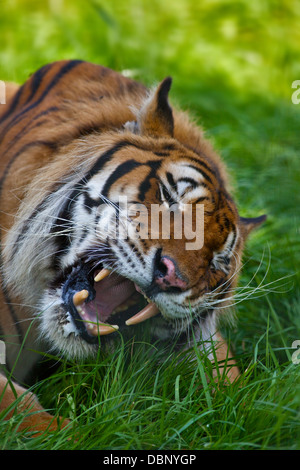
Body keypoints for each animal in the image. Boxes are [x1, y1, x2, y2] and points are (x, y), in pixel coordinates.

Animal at [1, 60, 266, 436]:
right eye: (169, 197)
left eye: (216, 261)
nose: (171, 278)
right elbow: (17, 406)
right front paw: (72, 433)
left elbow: (235, 384)